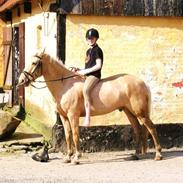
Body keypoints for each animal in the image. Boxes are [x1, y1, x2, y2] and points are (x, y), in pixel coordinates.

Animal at [17, 52, 162, 164]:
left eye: (34, 63)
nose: (21, 80)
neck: (65, 85)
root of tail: (142, 82)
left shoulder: (73, 115)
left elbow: (75, 135)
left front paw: (76, 158)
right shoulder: (64, 117)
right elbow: (68, 135)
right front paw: (68, 157)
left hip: (140, 113)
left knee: (151, 128)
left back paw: (158, 155)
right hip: (129, 112)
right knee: (138, 129)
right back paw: (136, 154)